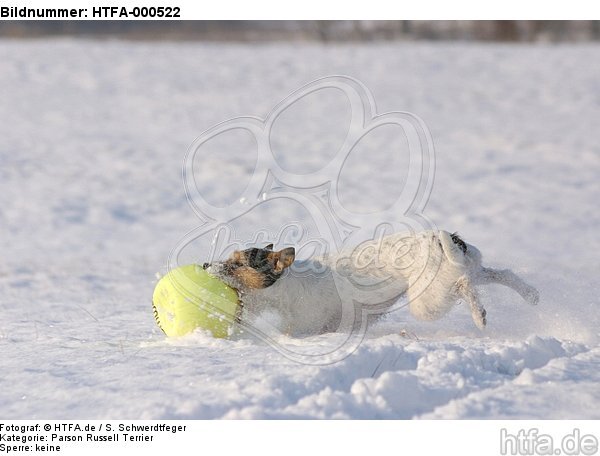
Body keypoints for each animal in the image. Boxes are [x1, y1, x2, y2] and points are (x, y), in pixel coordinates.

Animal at [206, 232, 540, 334]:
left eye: (237, 264)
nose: (207, 266)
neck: (284, 289)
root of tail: (440, 238)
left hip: (427, 301)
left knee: (465, 287)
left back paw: (479, 316)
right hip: (468, 269)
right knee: (499, 274)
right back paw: (530, 294)